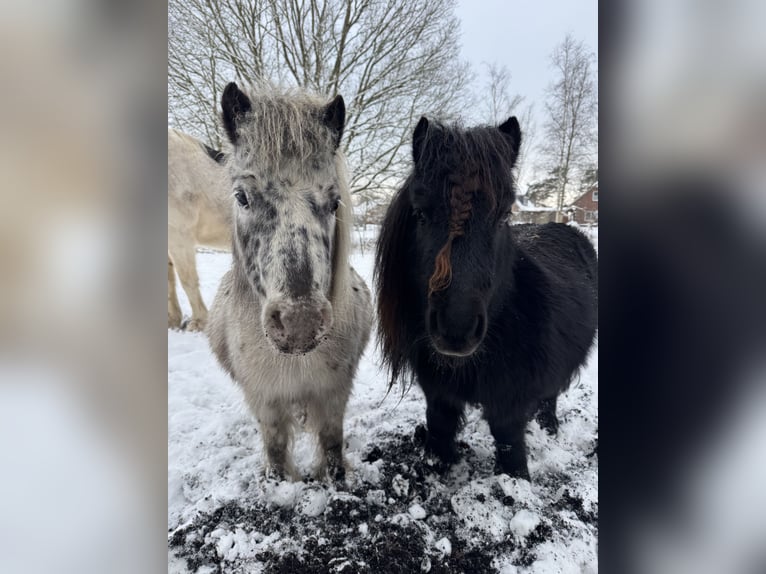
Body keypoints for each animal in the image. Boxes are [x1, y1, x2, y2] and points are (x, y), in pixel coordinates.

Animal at [206, 83, 372, 481]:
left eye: (335, 202)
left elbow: (331, 443)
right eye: (241, 196)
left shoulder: (333, 395)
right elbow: (277, 451)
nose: (300, 322)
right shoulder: (266, 403)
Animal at [375, 115, 598, 480]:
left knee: (550, 396)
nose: (457, 329)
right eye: (420, 213)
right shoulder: (439, 398)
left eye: (505, 215)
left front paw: (514, 481)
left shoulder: (509, 408)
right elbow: (439, 435)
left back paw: (548, 427)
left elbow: (510, 451)